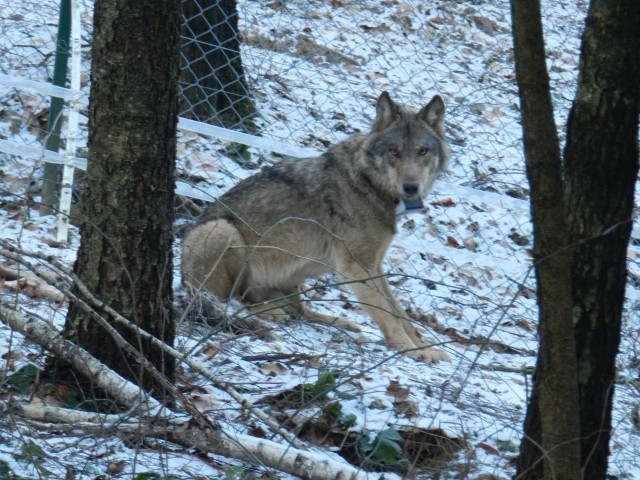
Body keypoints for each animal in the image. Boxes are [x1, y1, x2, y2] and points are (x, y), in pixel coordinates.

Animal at [180, 93, 450, 364]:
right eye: (394, 151)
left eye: (423, 151)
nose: (411, 187)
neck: (368, 183)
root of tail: (183, 282)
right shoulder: (356, 268)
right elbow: (387, 314)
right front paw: (411, 350)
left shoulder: (375, 265)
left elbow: (401, 313)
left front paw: (424, 347)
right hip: (224, 231)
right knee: (232, 299)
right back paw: (268, 311)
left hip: (293, 275)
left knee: (300, 310)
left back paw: (339, 321)